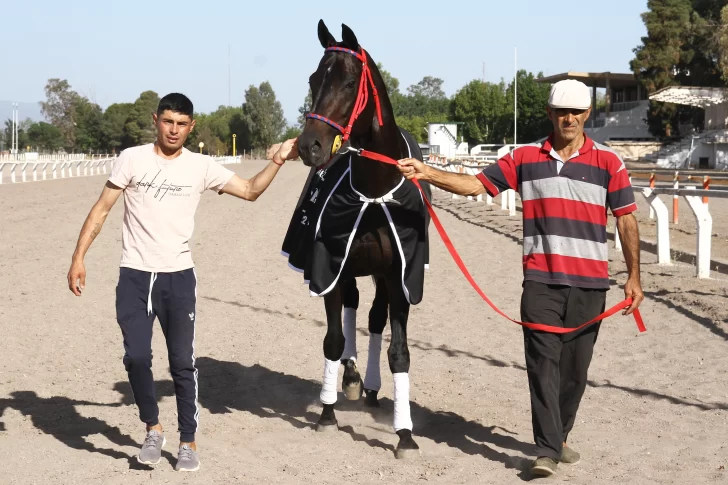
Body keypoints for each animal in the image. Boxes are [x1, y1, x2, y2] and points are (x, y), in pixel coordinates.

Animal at [283, 19, 432, 458]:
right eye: (313, 78)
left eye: (350, 83)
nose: (309, 146)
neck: (374, 192)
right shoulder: (331, 264)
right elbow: (334, 339)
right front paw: (327, 413)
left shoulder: (401, 275)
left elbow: (399, 351)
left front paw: (405, 434)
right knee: (350, 308)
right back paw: (349, 379)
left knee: (374, 318)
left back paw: (371, 387)